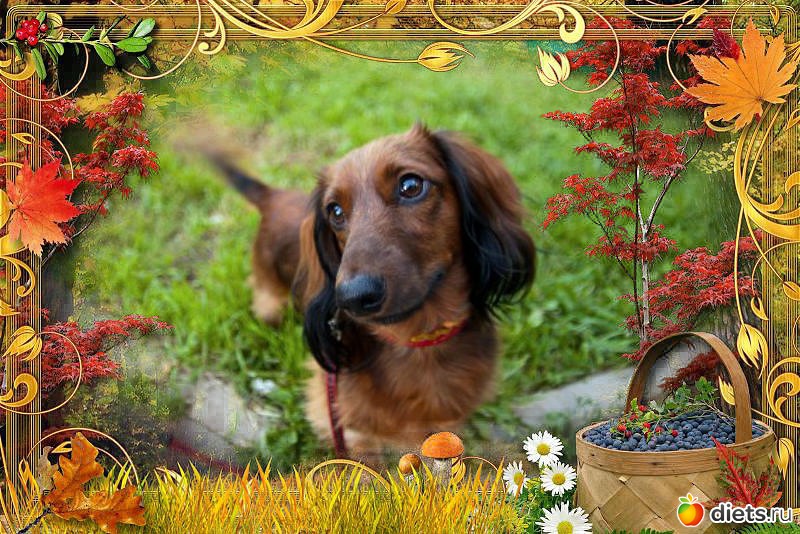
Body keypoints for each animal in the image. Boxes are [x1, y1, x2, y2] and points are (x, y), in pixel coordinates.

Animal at [211, 124, 535, 460]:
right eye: (335, 211)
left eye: (411, 185)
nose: (353, 297)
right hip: (270, 305)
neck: (419, 341)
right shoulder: (347, 428)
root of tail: (274, 197)